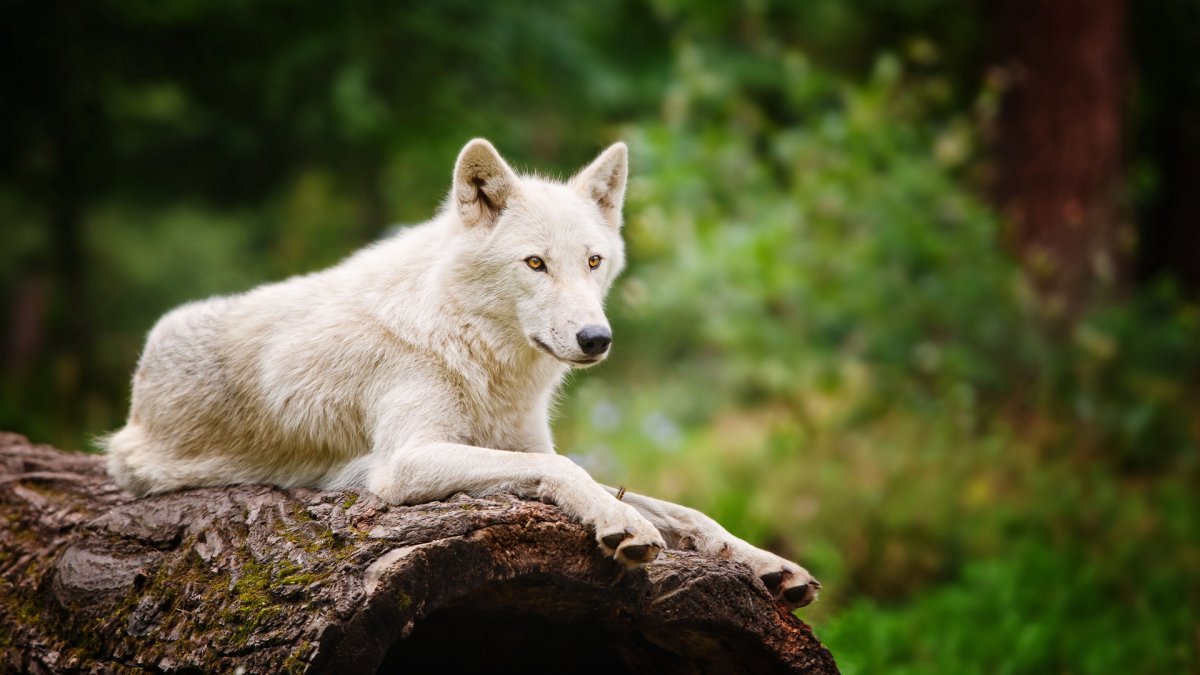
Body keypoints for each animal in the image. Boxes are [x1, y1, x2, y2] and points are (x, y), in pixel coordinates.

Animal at [103, 139, 820, 607]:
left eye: (592, 261)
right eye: (535, 264)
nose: (596, 339)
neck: (472, 348)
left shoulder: (519, 441)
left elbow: (685, 509)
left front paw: (769, 564)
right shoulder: (405, 463)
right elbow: (568, 471)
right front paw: (624, 526)